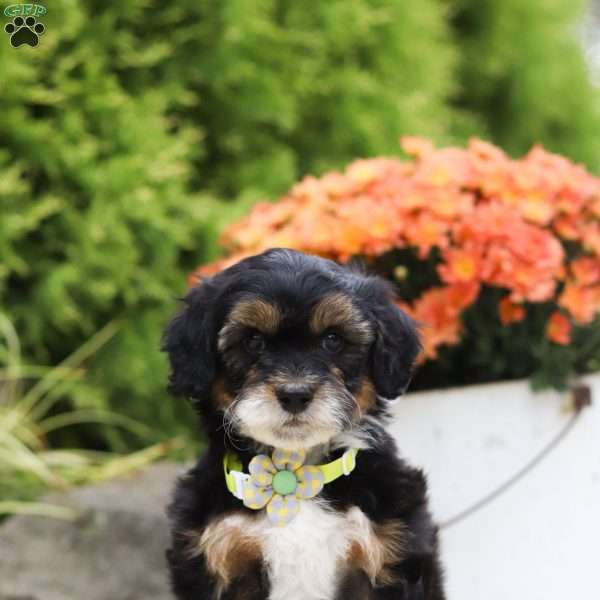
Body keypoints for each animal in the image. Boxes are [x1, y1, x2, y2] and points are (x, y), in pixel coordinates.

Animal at [164, 248, 446, 600]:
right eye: (253, 340)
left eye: (333, 339)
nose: (295, 394)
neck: (293, 471)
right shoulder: (218, 555)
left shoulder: (394, 551)